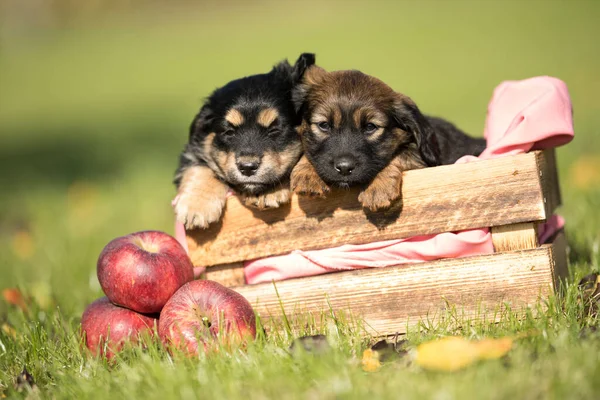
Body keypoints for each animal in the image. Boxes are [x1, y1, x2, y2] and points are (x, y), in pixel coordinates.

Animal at [173, 53, 314, 228]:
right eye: (229, 132)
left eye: (274, 130)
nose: (247, 167)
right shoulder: (193, 153)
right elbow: (200, 166)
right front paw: (196, 207)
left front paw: (268, 192)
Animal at [290, 67, 488, 211]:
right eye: (324, 125)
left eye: (370, 127)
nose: (344, 168)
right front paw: (306, 174)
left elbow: (401, 154)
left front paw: (378, 188)